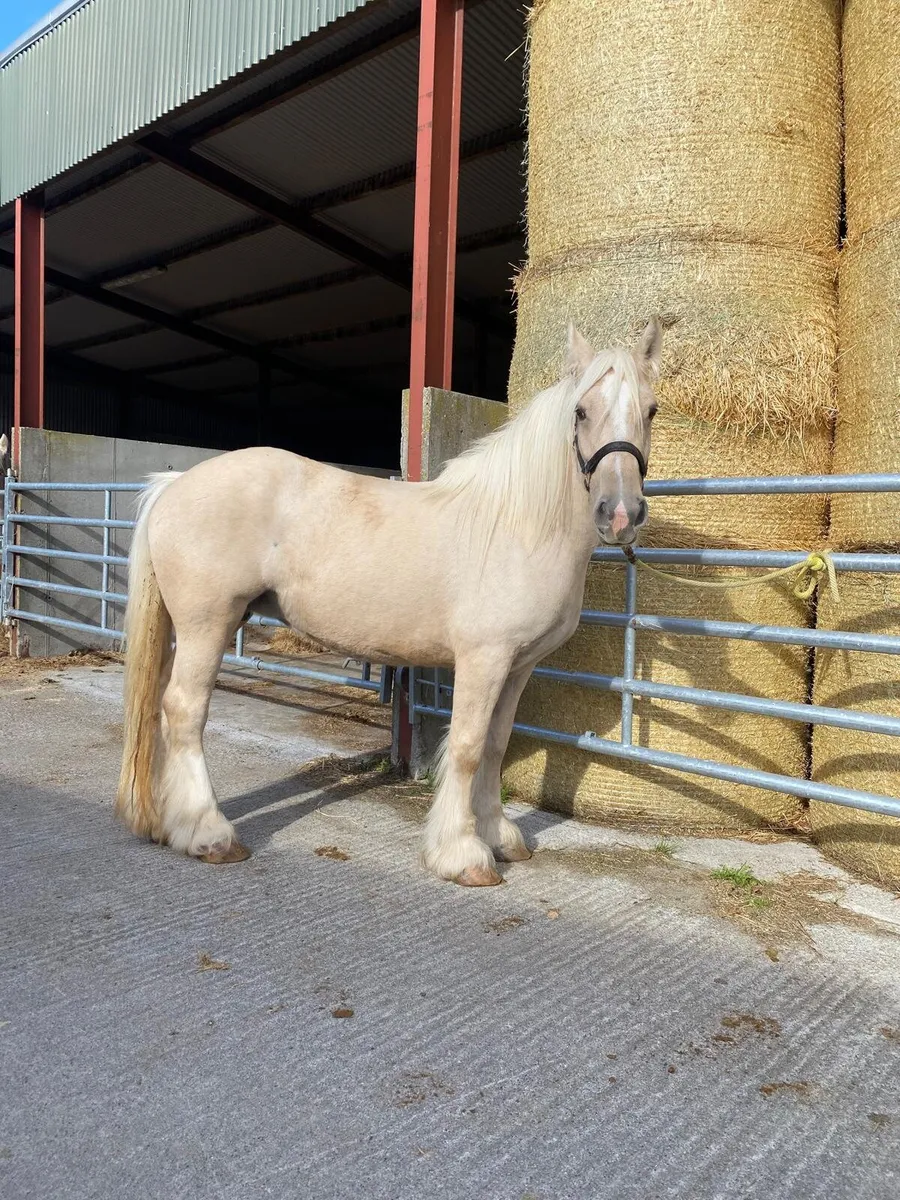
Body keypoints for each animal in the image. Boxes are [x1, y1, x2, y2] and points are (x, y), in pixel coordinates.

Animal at [116, 319, 662, 886]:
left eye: (651, 410)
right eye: (581, 411)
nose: (620, 513)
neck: (516, 524)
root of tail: (174, 484)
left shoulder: (518, 666)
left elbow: (495, 745)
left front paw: (500, 836)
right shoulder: (483, 660)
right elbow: (467, 747)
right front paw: (462, 853)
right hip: (208, 623)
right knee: (185, 710)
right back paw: (209, 833)